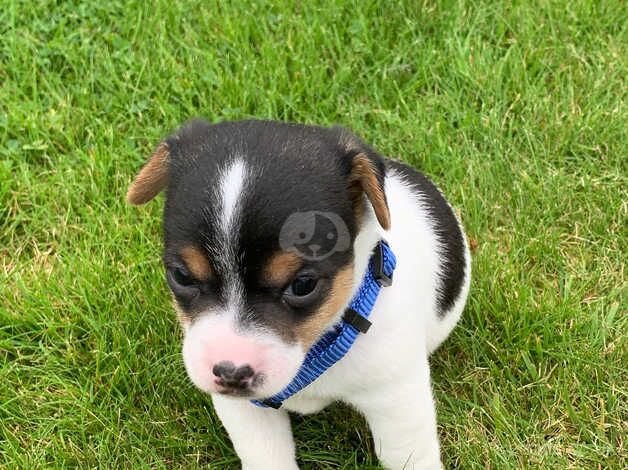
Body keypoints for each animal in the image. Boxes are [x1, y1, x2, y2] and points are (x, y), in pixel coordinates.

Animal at [127, 120, 468, 470]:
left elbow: (407, 455)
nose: (230, 372)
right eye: (181, 276)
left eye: (303, 285)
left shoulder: (395, 396)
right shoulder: (247, 412)